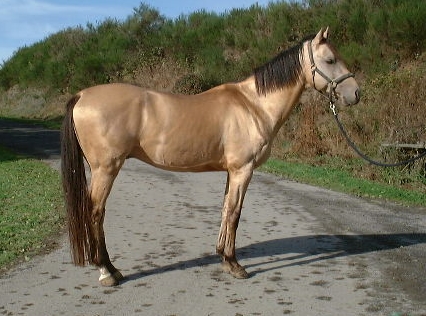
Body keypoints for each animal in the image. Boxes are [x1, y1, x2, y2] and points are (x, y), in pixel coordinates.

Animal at [60, 27, 360, 286]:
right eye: (330, 59)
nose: (355, 93)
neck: (254, 105)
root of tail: (81, 96)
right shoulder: (243, 169)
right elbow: (235, 213)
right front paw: (235, 264)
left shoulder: (232, 171)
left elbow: (225, 209)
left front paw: (223, 258)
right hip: (105, 169)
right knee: (95, 212)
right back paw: (107, 271)